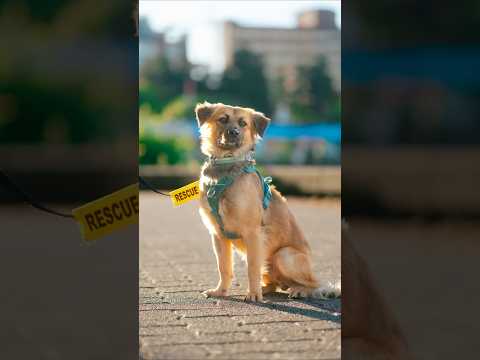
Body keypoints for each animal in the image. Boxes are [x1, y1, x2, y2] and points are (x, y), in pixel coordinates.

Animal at [193, 101, 340, 300]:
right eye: (223, 119)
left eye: (243, 123)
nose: (234, 132)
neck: (226, 166)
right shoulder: (218, 235)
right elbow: (223, 267)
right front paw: (220, 291)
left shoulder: (253, 233)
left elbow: (252, 268)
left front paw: (253, 295)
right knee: (274, 283)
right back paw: (266, 288)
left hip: (284, 255)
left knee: (313, 285)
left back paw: (299, 290)